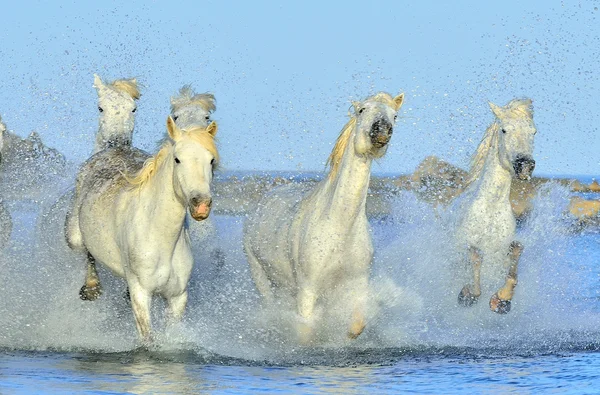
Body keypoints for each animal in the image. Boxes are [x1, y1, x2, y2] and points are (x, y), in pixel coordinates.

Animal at [65, 116, 218, 342]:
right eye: (177, 159)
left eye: (211, 160)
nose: (201, 205)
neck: (162, 238)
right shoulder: (141, 292)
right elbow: (147, 340)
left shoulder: (177, 297)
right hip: (74, 236)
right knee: (86, 251)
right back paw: (91, 287)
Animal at [243, 92, 404, 340]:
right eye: (362, 110)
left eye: (394, 115)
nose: (381, 130)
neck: (339, 225)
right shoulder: (308, 289)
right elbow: (306, 330)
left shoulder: (357, 284)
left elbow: (356, 326)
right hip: (259, 275)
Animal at [452, 99, 536, 316]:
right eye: (504, 130)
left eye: (533, 131)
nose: (525, 165)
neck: (490, 208)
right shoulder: (461, 250)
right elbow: (475, 260)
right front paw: (467, 295)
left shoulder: (500, 255)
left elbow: (516, 253)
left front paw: (501, 300)